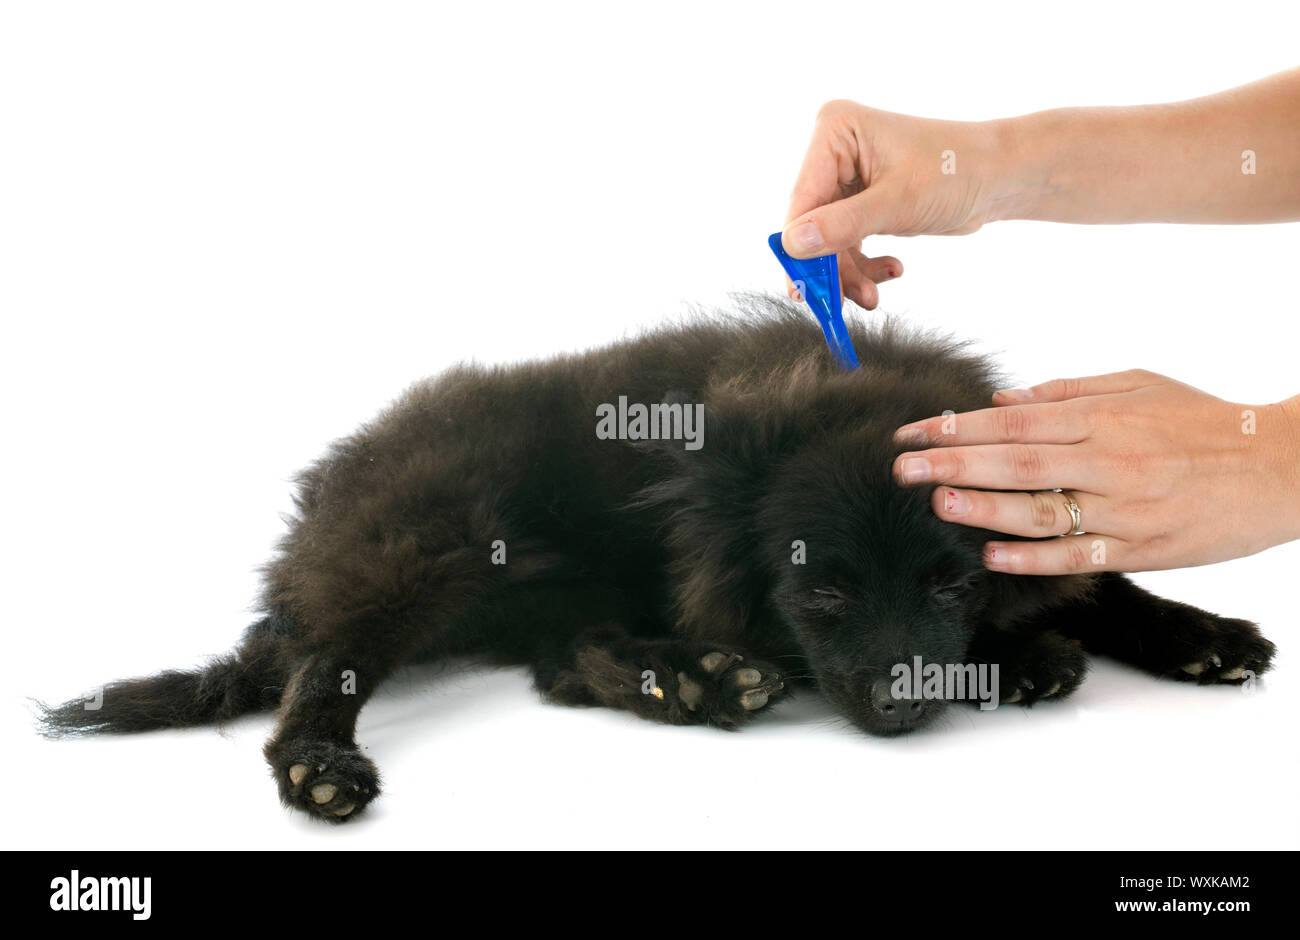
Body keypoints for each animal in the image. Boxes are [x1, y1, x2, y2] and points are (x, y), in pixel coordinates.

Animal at [43, 296, 1279, 821]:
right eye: (823, 590)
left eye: (950, 582)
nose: (901, 701)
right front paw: (1036, 658)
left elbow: (1101, 578)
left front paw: (1193, 634)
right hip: (429, 543)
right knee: (326, 660)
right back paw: (316, 764)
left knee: (570, 659)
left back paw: (693, 680)